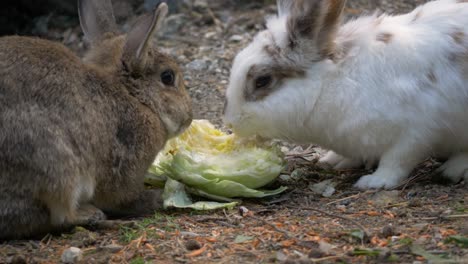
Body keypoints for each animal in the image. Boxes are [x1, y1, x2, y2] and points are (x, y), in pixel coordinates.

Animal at [0, 0, 192, 239]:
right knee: (61, 216)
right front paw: (157, 197)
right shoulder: (124, 165)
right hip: (56, 164)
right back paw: (93, 215)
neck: (131, 95)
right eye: (167, 77)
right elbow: (121, 197)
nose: (189, 117)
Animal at [222, 0, 468, 190]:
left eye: (262, 81)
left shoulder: (416, 130)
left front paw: (375, 182)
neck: (332, 81)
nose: (232, 123)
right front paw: (333, 161)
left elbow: (397, 161)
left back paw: (451, 170)